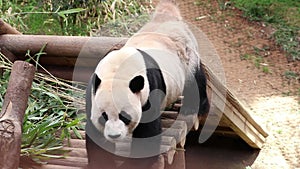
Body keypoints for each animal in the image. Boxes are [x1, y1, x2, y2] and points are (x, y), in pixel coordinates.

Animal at [85, 0, 209, 168]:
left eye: (124, 116)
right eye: (103, 116)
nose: (114, 135)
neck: (118, 71)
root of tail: (167, 17)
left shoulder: (149, 88)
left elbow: (147, 131)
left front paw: (136, 162)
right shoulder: (93, 92)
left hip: (187, 56)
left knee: (195, 80)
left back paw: (194, 107)